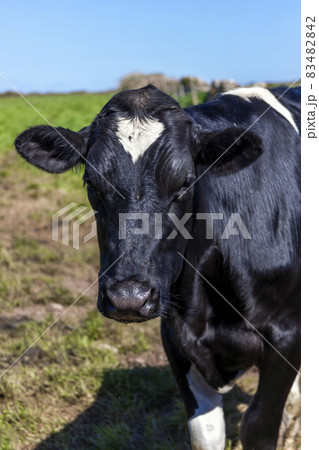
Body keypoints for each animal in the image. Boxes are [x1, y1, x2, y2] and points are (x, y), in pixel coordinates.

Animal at [15, 85, 302, 450]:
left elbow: (258, 424)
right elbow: (206, 430)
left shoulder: (287, 334)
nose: (128, 297)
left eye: (186, 182)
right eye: (92, 183)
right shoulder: (176, 336)